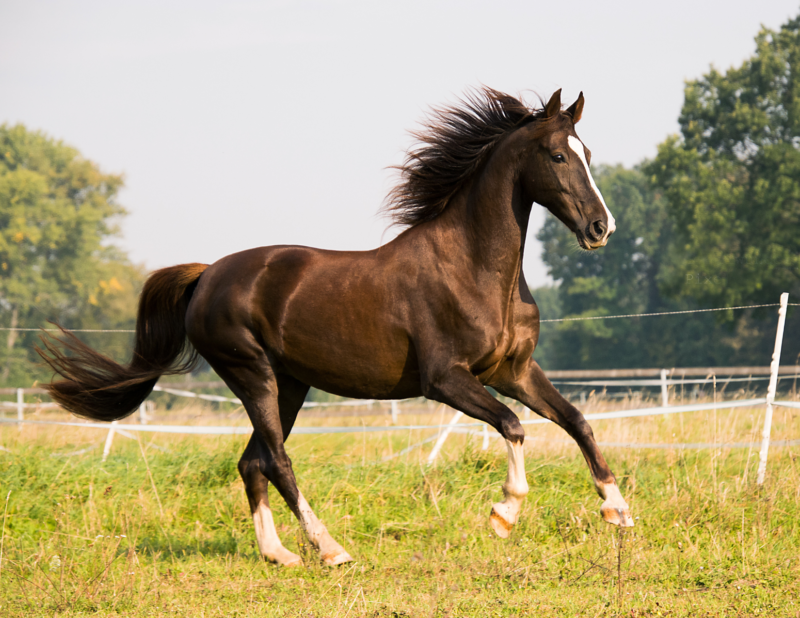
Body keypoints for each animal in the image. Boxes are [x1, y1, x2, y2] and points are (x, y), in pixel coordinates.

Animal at [39, 86, 632, 568]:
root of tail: (207, 275)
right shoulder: (446, 380)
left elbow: (577, 421)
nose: (601, 228)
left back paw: (278, 554)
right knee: (276, 460)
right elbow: (513, 425)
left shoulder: (513, 371)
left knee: (251, 462)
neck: (474, 269)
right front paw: (504, 514)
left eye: (587, 153)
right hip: (252, 374)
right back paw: (330, 549)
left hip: (290, 384)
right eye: (558, 155)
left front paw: (618, 510)